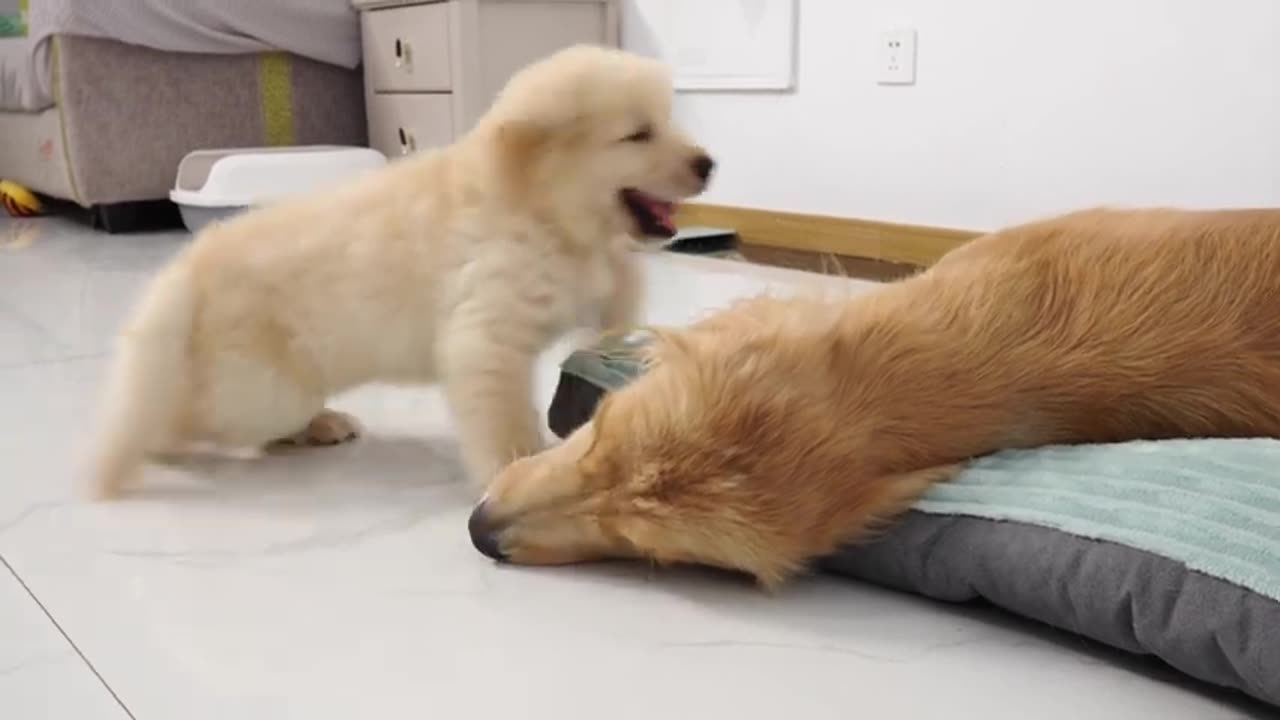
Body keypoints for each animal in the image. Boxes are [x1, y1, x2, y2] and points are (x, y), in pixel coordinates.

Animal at [92, 41, 711, 497]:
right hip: (260, 391)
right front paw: (515, 467)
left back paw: (322, 425)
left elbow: (620, 291)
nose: (709, 163)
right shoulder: (487, 337)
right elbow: (504, 417)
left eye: (667, 120)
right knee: (191, 421)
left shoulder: (594, 269)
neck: (539, 209)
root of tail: (189, 266)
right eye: (638, 134)